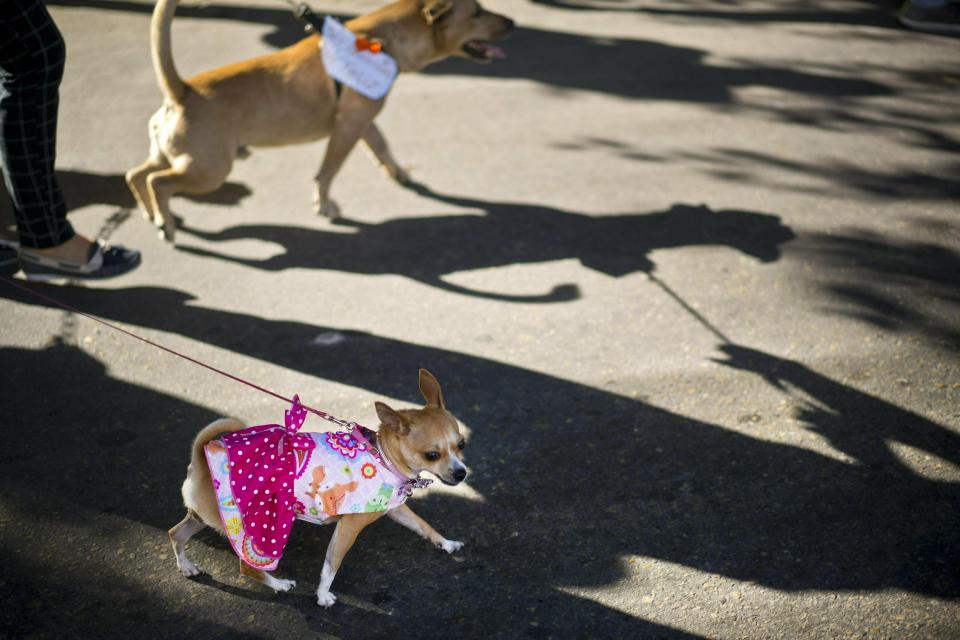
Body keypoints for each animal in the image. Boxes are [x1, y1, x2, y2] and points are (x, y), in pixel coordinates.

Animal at [128, 0, 516, 240]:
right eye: (478, 12)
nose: (513, 22)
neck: (381, 40)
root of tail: (182, 91)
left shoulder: (365, 121)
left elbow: (383, 149)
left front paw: (399, 175)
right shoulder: (347, 128)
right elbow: (327, 171)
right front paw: (324, 204)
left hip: (179, 159)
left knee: (137, 174)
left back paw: (155, 216)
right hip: (209, 171)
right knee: (159, 182)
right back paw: (165, 225)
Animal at [172, 368, 472, 608]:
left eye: (461, 444)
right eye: (432, 455)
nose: (461, 473)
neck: (383, 456)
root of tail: (200, 459)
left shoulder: (396, 509)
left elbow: (423, 526)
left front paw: (446, 543)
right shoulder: (348, 529)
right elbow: (331, 565)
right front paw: (322, 595)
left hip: (203, 517)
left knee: (176, 533)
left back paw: (186, 567)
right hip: (256, 531)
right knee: (248, 568)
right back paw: (279, 584)